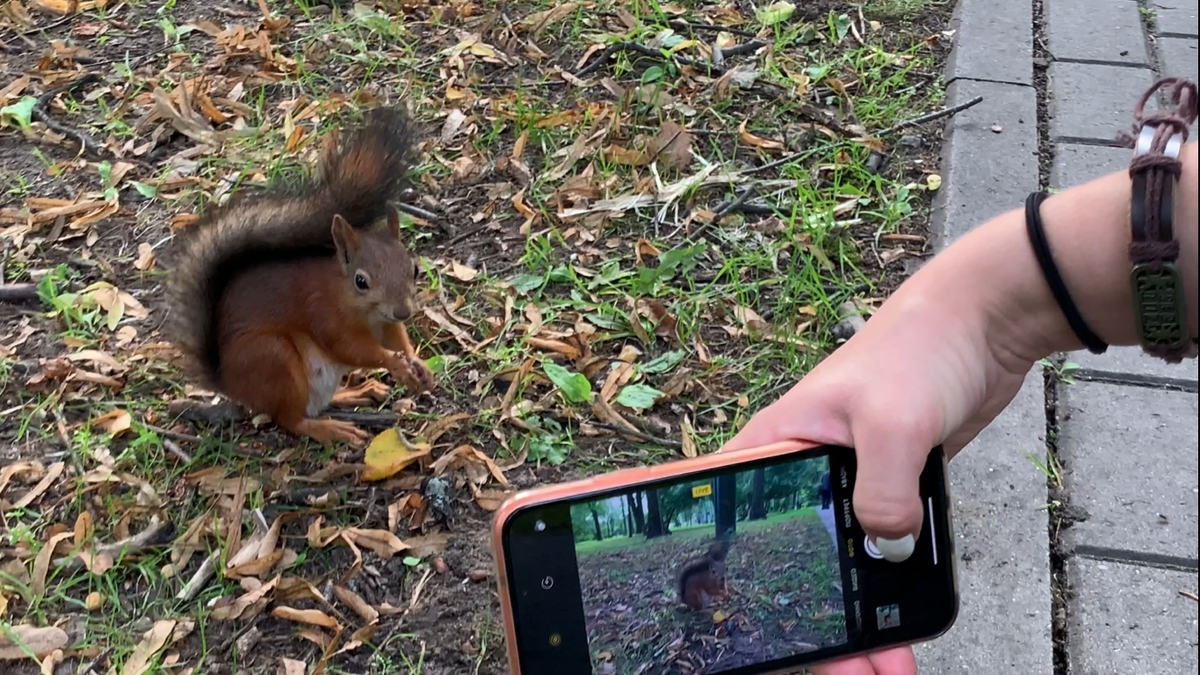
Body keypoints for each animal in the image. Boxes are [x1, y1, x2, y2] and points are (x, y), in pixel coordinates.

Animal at [166, 105, 434, 444]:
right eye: (361, 281)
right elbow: (352, 348)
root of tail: (231, 385)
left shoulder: (386, 324)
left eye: (413, 269)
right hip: (275, 360)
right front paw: (393, 362)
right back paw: (330, 428)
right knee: (291, 419)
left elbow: (398, 339)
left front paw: (416, 363)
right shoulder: (324, 314)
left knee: (315, 405)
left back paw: (356, 392)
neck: (362, 309)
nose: (403, 312)